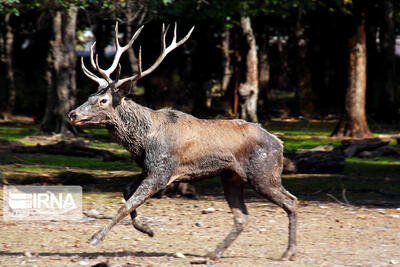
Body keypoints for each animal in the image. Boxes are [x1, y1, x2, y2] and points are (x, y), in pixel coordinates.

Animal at [68, 22, 296, 262]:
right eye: (90, 96)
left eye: (103, 100)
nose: (72, 114)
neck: (142, 141)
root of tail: (280, 143)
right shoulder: (148, 168)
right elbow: (127, 192)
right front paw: (147, 228)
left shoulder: (162, 171)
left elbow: (126, 205)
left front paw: (96, 237)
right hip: (231, 176)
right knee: (242, 216)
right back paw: (212, 254)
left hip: (263, 173)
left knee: (291, 201)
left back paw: (288, 252)